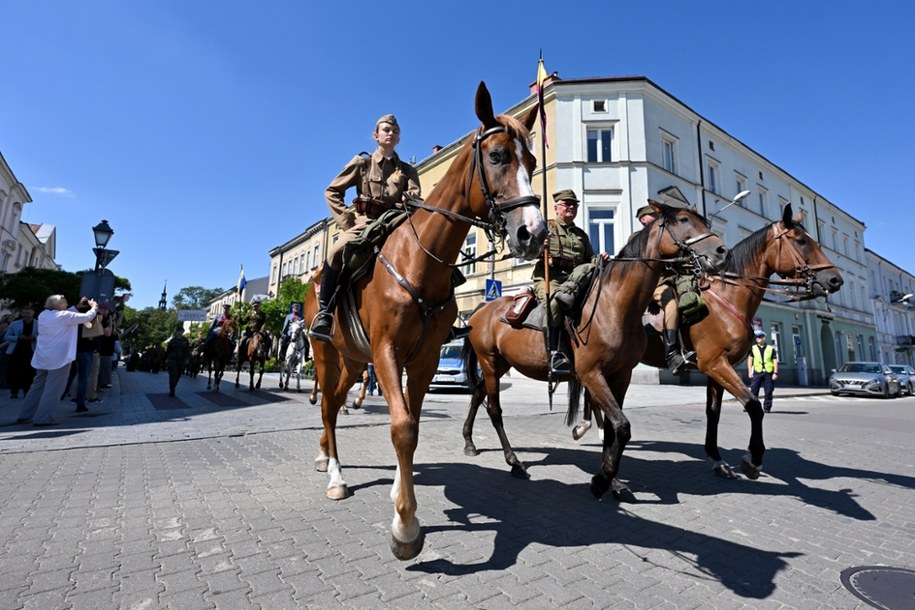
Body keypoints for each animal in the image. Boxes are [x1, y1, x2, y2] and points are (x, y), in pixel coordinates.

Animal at [306, 82, 552, 560]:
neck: (419, 260)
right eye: (498, 156)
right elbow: (401, 427)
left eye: (533, 162)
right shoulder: (386, 351)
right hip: (327, 353)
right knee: (327, 407)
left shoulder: (423, 359)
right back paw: (336, 475)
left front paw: (401, 495)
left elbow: (413, 425)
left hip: (352, 360)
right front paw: (405, 525)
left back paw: (327, 455)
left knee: (335, 404)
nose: (534, 233)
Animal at [466, 202, 728, 496]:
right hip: (489, 362)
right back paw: (514, 462)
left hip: (500, 364)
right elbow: (622, 426)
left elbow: (614, 428)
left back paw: (470, 443)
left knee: (477, 395)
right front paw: (602, 480)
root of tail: (482, 309)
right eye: (683, 220)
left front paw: (613, 481)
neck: (615, 305)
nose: (721, 252)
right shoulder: (591, 374)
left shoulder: (621, 376)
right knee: (494, 409)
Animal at [636, 202, 844, 478]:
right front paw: (753, 459)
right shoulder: (715, 363)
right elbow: (754, 405)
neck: (727, 299)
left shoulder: (716, 369)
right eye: (800, 241)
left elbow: (713, 412)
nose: (835, 279)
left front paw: (717, 459)